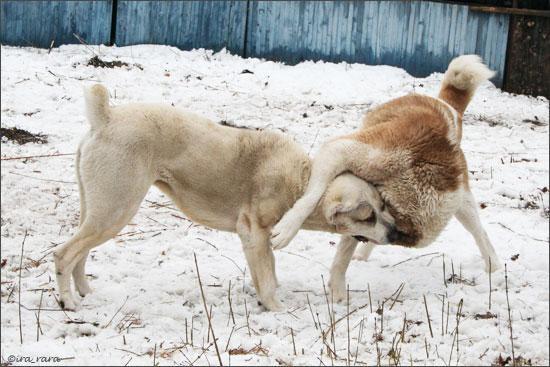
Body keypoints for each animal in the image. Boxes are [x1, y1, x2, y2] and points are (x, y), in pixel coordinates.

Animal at [272, 54, 504, 302]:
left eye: (400, 231)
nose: (392, 236)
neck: (409, 176)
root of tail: (448, 107)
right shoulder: (345, 152)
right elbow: (310, 198)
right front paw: (287, 228)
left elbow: (345, 250)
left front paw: (338, 290)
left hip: (463, 201)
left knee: (480, 232)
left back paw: (494, 266)